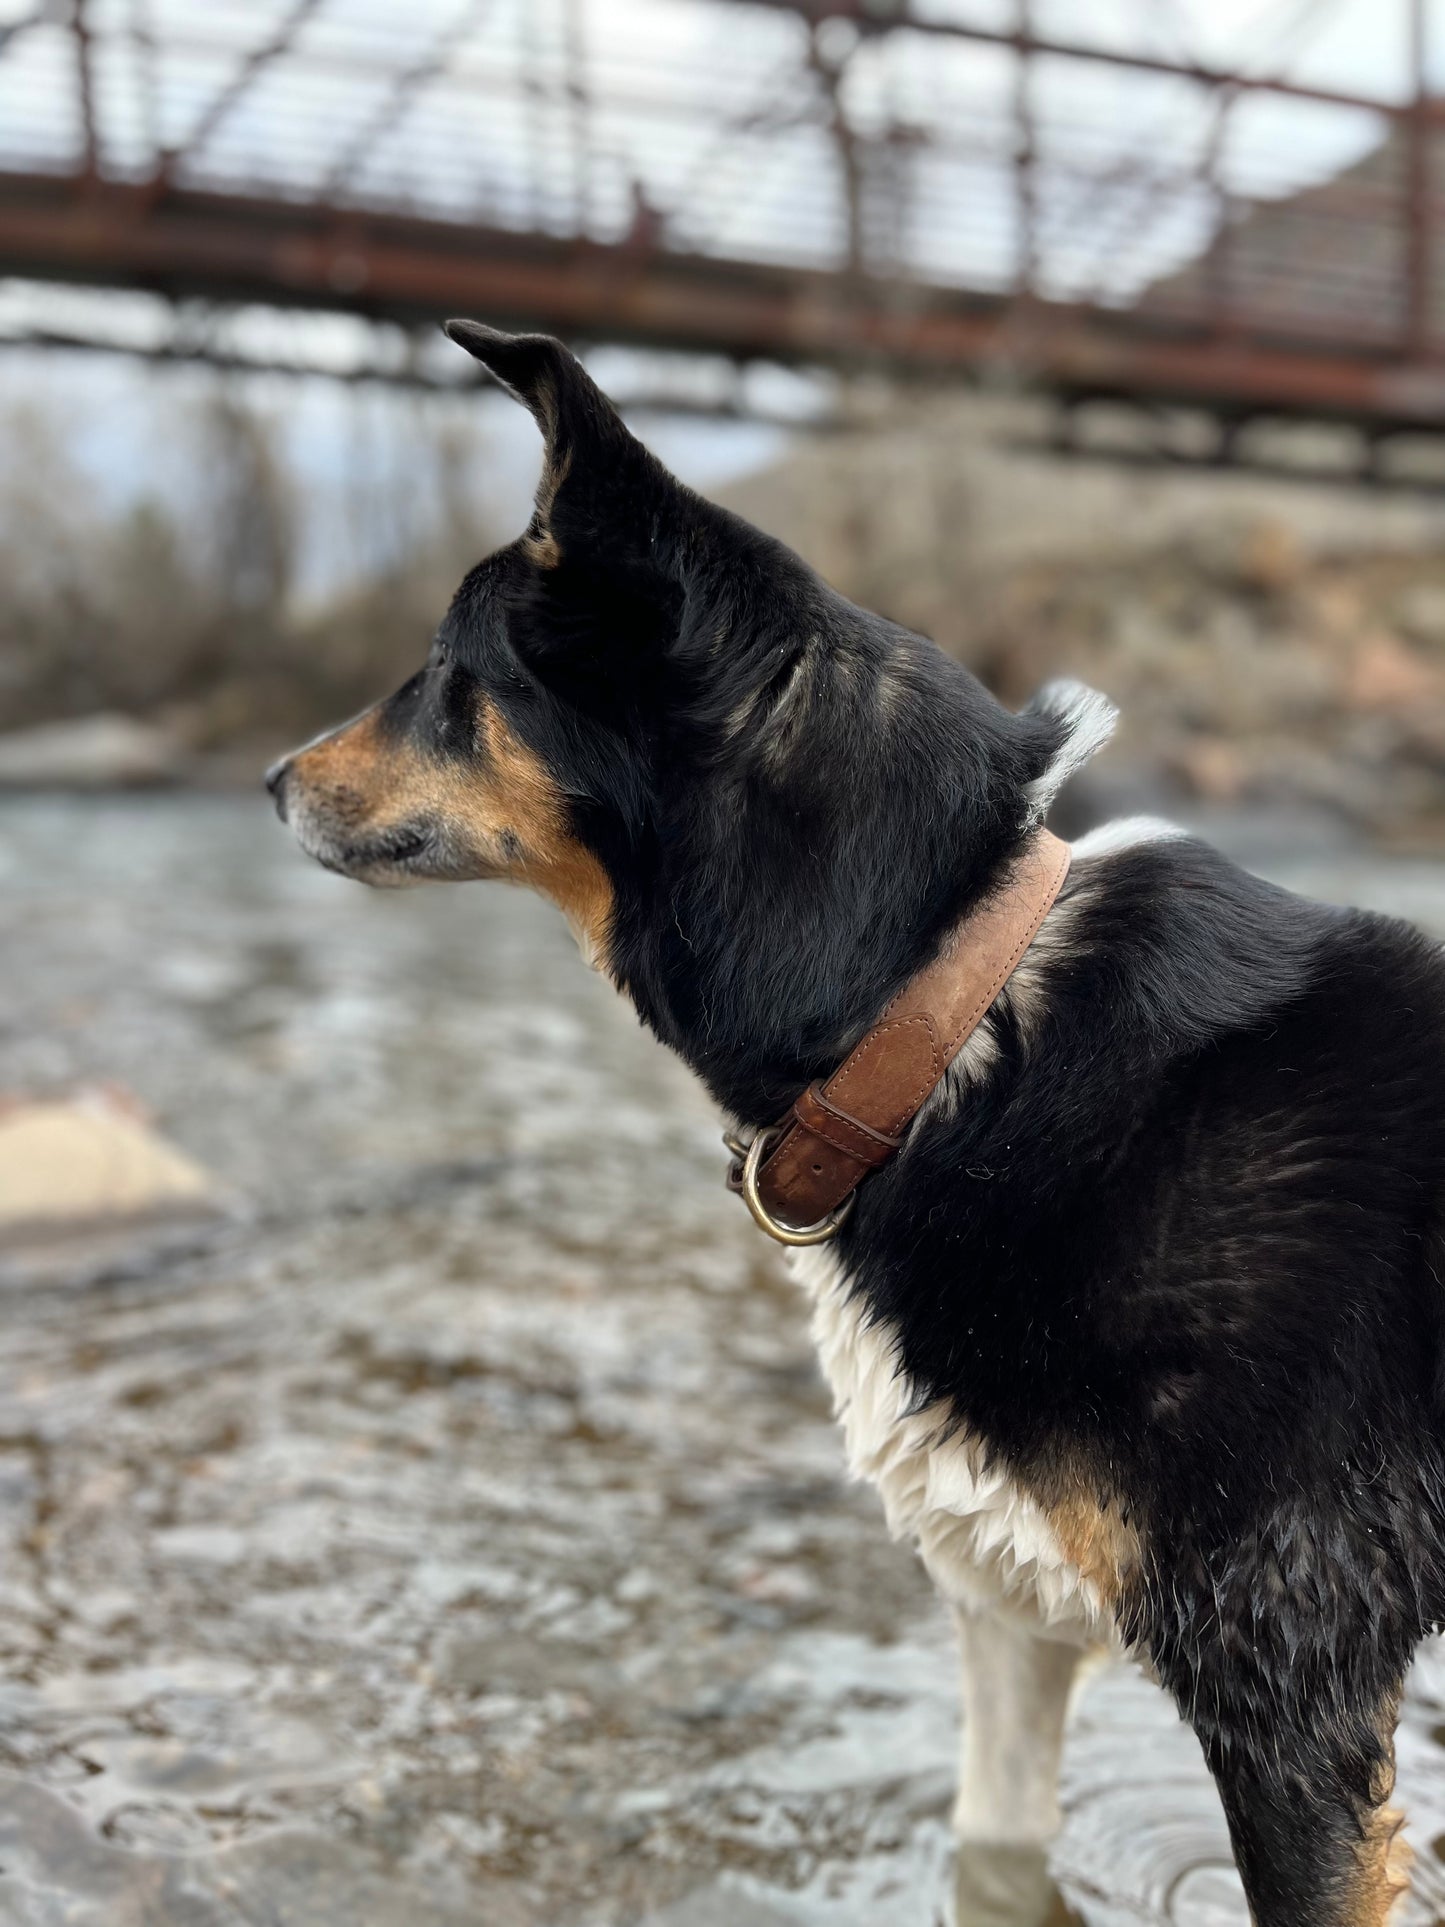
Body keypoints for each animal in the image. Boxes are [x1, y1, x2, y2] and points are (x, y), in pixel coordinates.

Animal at [265, 323, 1445, 1919]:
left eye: (447, 672)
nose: (271, 777)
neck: (942, 1004)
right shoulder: (1011, 1615)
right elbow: (992, 1853)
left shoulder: (1290, 1692)